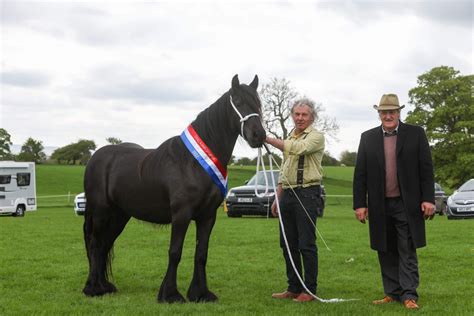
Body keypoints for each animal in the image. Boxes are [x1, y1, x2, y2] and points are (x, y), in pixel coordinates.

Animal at [82, 74, 266, 304]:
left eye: (258, 104)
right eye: (239, 102)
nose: (259, 135)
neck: (192, 163)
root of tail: (95, 158)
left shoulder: (207, 216)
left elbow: (201, 254)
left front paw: (201, 293)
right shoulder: (181, 214)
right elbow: (175, 252)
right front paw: (170, 294)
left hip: (119, 215)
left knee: (104, 244)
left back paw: (105, 286)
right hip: (101, 212)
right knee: (95, 244)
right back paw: (93, 288)